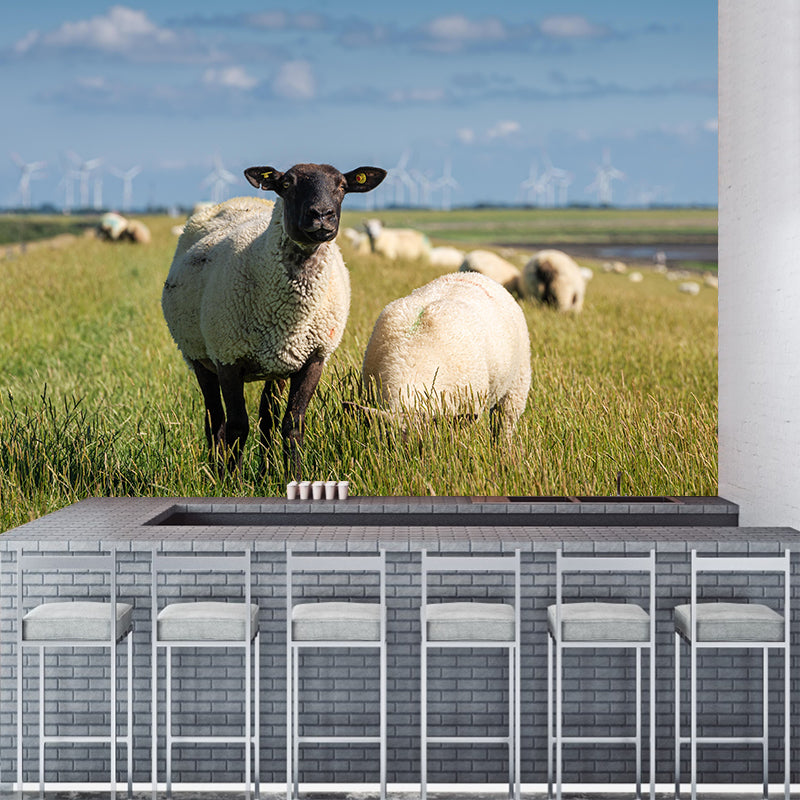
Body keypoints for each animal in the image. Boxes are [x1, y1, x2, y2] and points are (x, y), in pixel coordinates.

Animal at [161, 161, 386, 476]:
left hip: (277, 365)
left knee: (266, 417)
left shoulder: (313, 359)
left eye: (342, 186)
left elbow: (292, 423)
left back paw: (266, 471)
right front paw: (233, 479)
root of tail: (237, 200)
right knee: (215, 420)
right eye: (287, 184)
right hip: (198, 355)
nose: (322, 215)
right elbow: (237, 426)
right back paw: (216, 472)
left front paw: (293, 475)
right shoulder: (228, 357)